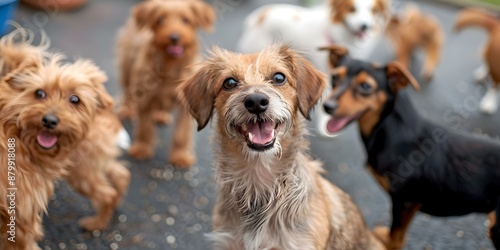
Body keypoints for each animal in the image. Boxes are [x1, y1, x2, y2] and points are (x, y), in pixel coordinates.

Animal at [0, 33, 131, 250]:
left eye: (75, 99)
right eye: (39, 93)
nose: (49, 121)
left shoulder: (20, 214)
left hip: (82, 169)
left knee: (107, 192)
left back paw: (97, 223)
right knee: (120, 175)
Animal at [116, 0, 216, 168]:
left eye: (186, 20)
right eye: (160, 20)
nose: (174, 37)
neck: (170, 67)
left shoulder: (187, 107)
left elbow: (181, 135)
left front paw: (180, 156)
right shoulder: (145, 99)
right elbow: (145, 128)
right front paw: (142, 148)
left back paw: (160, 115)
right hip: (126, 70)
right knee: (127, 91)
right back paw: (128, 110)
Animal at [318, 45, 500, 250]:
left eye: (366, 86)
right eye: (335, 78)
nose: (327, 106)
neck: (388, 129)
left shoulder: (404, 201)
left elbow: (395, 238)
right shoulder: (409, 205)